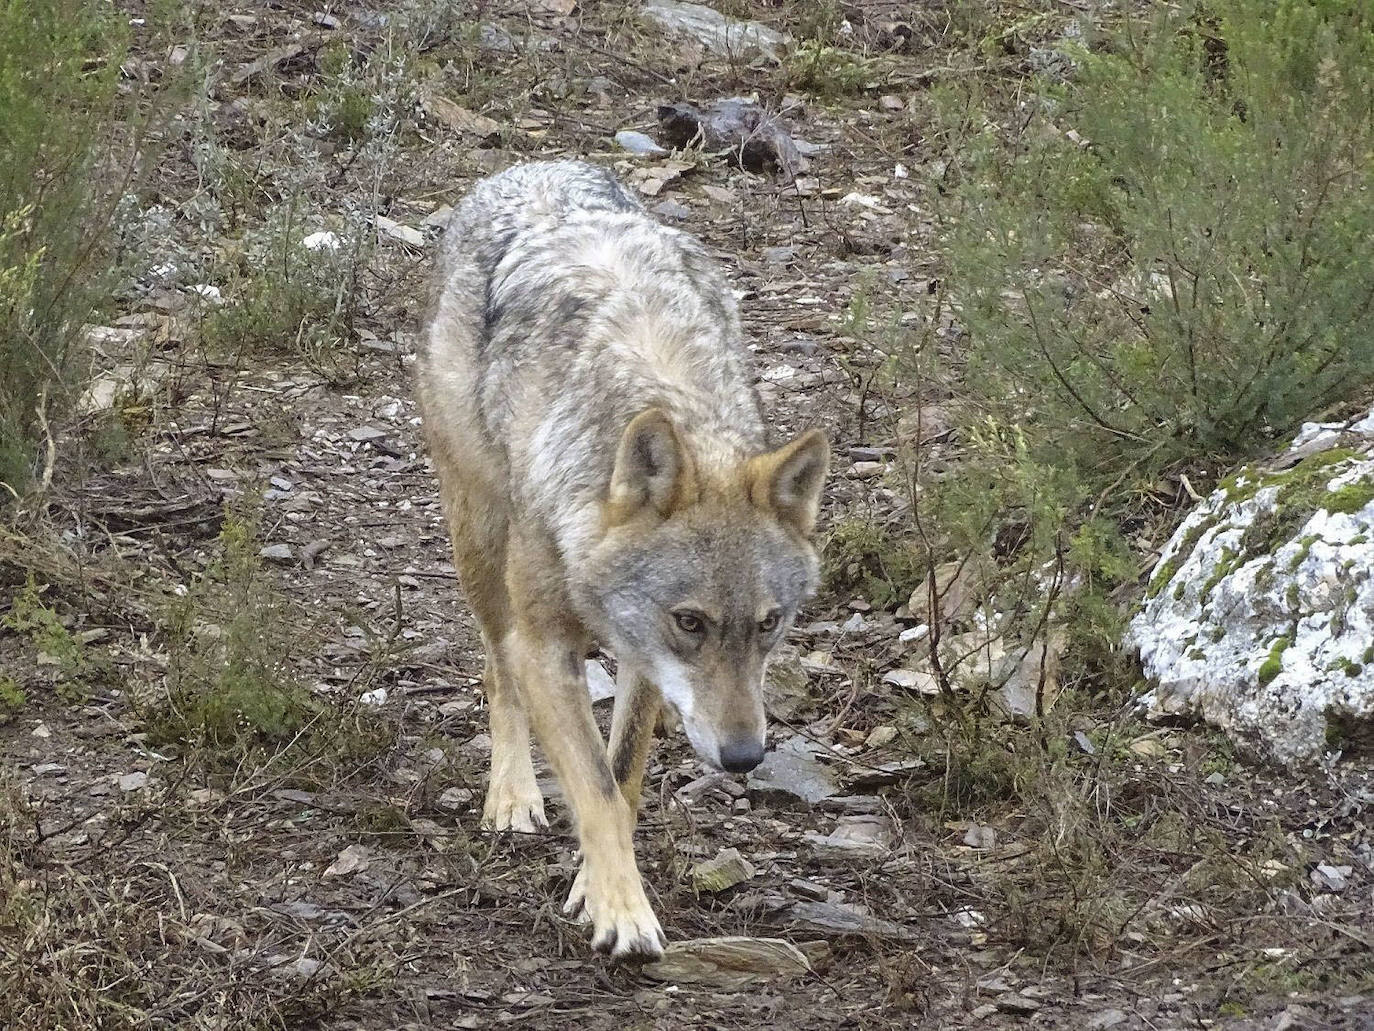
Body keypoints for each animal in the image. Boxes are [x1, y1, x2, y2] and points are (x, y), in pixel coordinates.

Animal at [414, 157, 824, 967]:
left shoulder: (641, 658)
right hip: (478, 537)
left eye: (769, 624)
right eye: (691, 621)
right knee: (496, 670)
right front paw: (624, 915)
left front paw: (594, 886)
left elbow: (623, 777)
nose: (745, 757)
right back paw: (513, 795)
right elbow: (595, 789)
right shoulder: (547, 647)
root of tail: (533, 164)